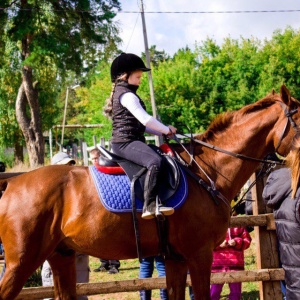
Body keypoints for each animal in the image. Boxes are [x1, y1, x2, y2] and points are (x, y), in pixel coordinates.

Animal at [0, 85, 298, 300]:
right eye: (299, 117)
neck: (205, 171)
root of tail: (11, 185)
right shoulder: (199, 255)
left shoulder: (175, 258)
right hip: (21, 263)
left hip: (61, 256)